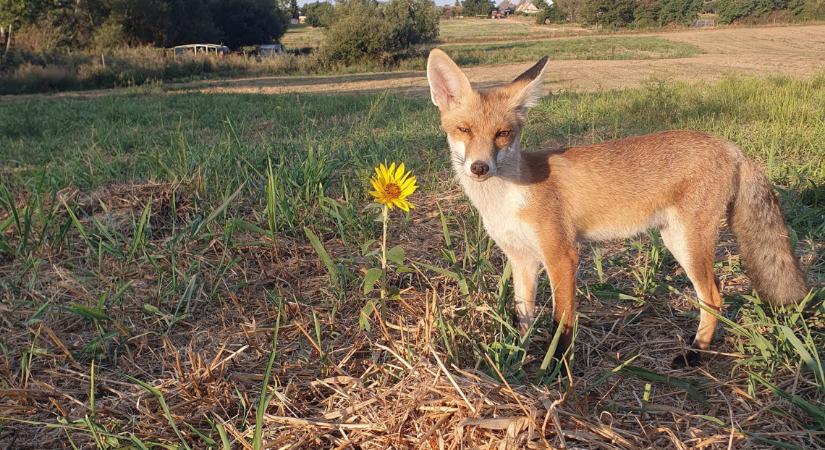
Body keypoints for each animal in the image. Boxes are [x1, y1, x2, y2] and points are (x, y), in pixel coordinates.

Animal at [424, 49, 804, 368]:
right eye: (464, 130)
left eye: (502, 134)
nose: (480, 167)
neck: (507, 198)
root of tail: (731, 147)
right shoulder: (522, 259)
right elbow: (524, 318)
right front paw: (519, 355)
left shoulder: (562, 255)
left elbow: (562, 321)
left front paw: (557, 368)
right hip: (675, 240)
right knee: (714, 292)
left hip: (687, 243)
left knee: (712, 295)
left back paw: (696, 352)